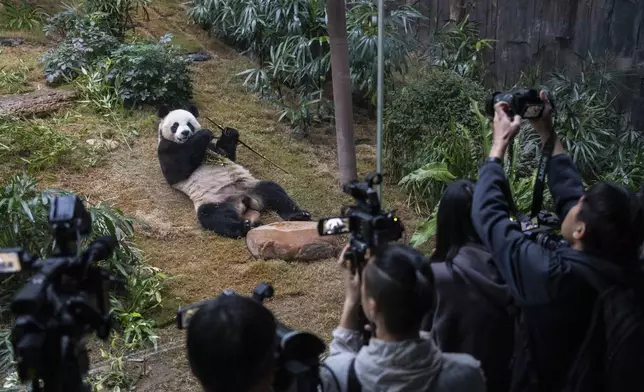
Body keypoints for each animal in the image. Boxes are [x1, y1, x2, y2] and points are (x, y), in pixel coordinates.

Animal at [156, 104, 312, 237]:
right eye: (175, 125)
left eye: (189, 124)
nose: (185, 132)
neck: (186, 142)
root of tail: (244, 200)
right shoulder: (165, 149)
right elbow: (177, 171)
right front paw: (204, 134)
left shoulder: (213, 149)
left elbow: (226, 153)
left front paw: (229, 133)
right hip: (215, 200)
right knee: (213, 216)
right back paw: (244, 226)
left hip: (251, 186)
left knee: (273, 190)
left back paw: (298, 215)